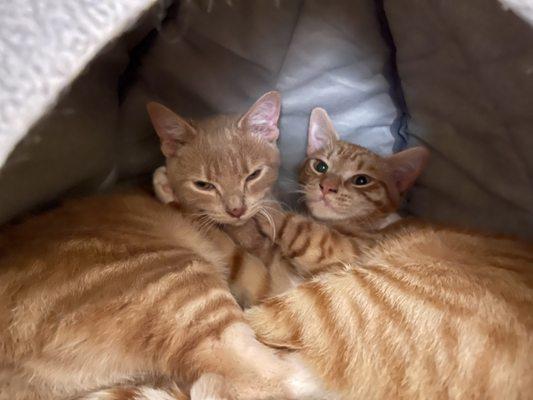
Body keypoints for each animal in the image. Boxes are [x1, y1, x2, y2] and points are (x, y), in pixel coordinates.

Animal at [0, 93, 324, 396]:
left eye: (253, 175)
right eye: (204, 185)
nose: (236, 210)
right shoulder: (265, 265)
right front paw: (169, 188)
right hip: (188, 286)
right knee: (272, 378)